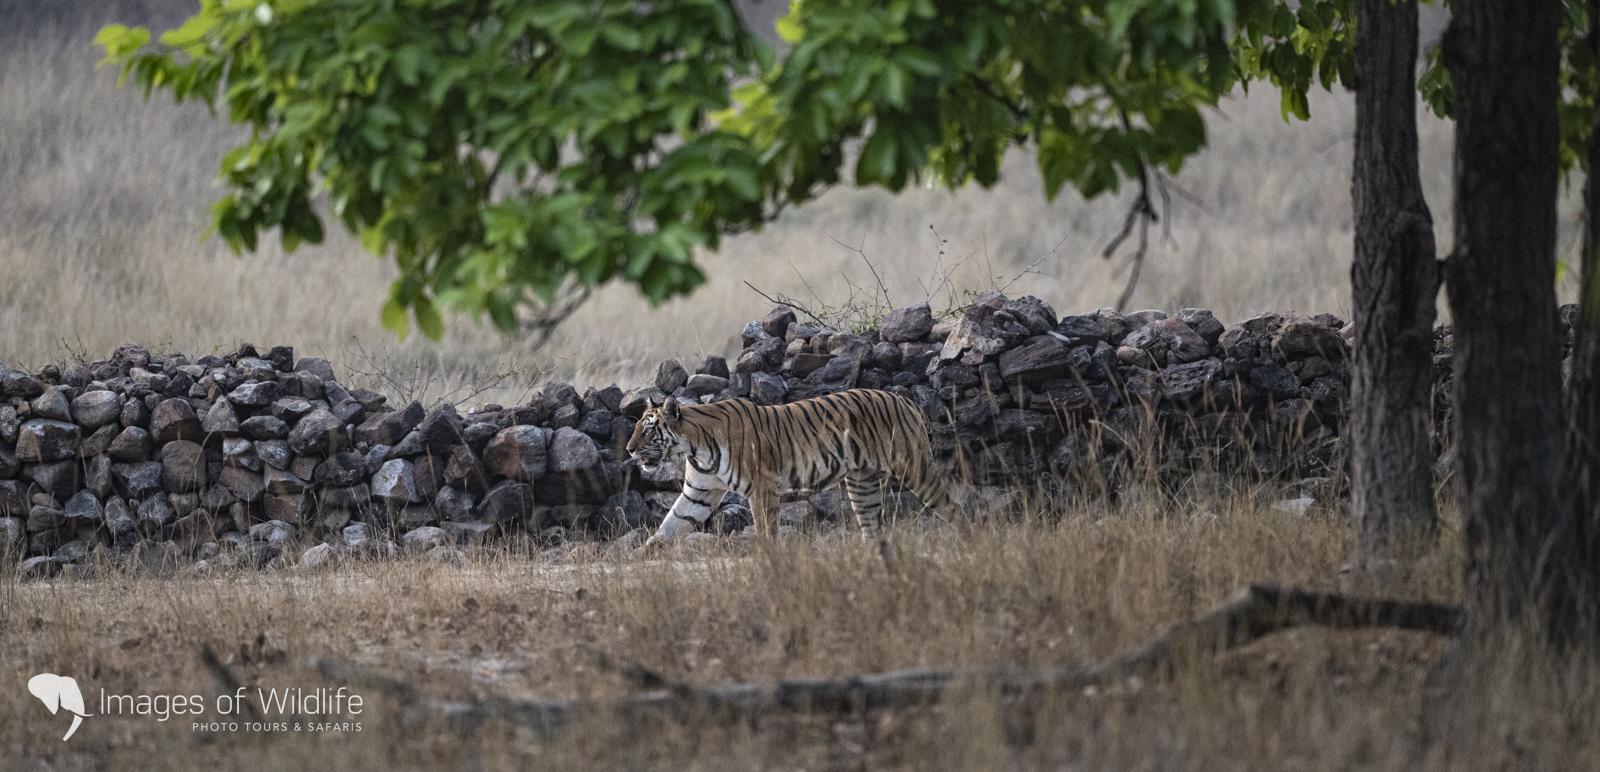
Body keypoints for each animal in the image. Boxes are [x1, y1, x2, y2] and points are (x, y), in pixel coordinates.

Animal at [625, 389, 956, 547]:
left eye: (647, 429)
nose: (628, 449)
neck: (694, 448)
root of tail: (903, 399)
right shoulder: (699, 493)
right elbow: (671, 524)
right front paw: (644, 552)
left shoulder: (762, 489)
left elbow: (765, 529)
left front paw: (769, 562)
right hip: (862, 485)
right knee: (872, 528)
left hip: (915, 465)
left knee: (951, 507)